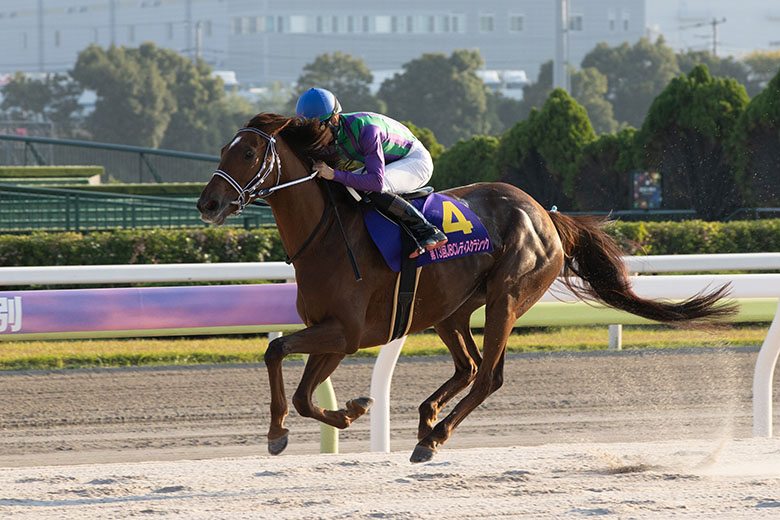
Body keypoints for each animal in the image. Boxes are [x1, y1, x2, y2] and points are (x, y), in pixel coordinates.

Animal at [197, 113, 735, 463]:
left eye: (248, 152)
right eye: (222, 151)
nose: (208, 203)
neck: (327, 234)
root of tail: (546, 215)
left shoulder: (345, 332)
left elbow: (277, 355)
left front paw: (282, 430)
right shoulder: (333, 335)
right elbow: (304, 391)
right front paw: (348, 411)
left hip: (506, 299)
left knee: (487, 376)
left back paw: (433, 437)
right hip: (449, 308)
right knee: (469, 365)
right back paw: (425, 418)